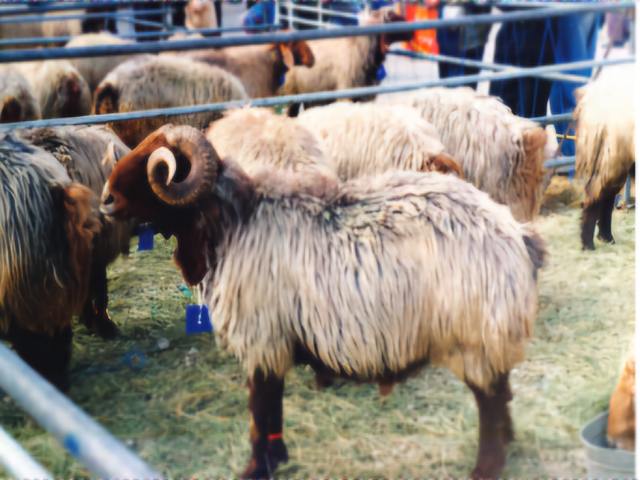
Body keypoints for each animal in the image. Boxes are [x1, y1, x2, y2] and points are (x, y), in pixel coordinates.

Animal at [101, 124, 548, 480]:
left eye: (159, 164)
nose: (105, 199)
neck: (233, 224)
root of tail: (516, 233)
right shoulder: (274, 341)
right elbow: (272, 409)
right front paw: (277, 459)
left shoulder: (262, 338)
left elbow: (261, 409)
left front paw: (256, 469)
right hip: (488, 338)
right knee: (502, 394)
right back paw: (509, 445)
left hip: (476, 337)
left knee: (490, 403)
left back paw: (486, 468)